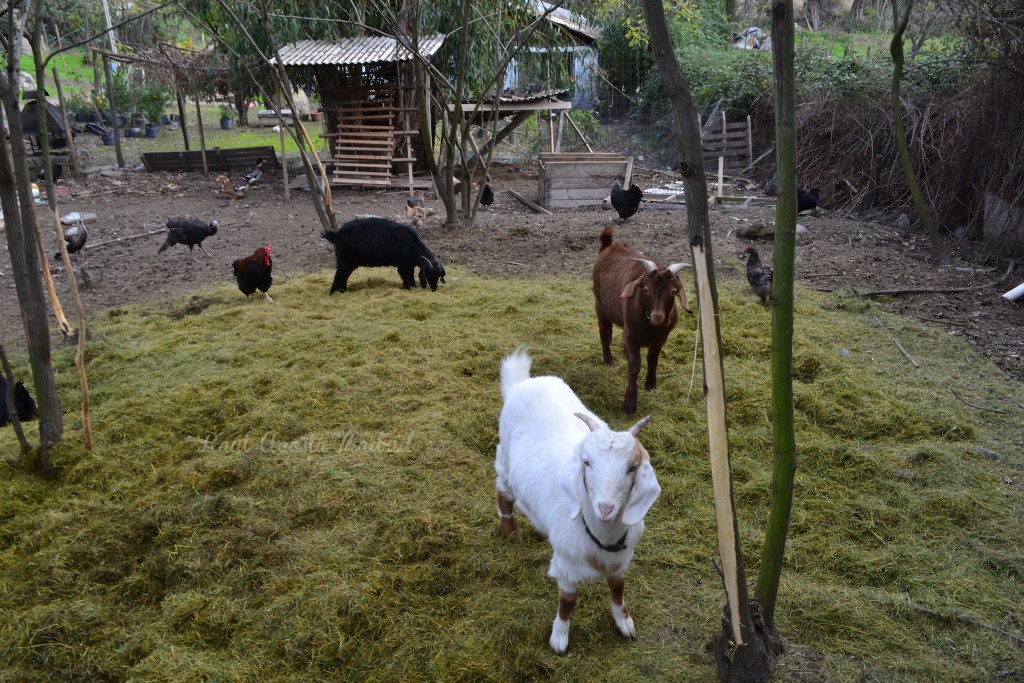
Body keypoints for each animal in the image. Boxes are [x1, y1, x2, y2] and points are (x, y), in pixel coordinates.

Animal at [495, 350, 663, 655]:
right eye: (586, 462)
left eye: (632, 468)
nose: (605, 509)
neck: (603, 537)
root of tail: (522, 383)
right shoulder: (566, 566)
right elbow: (567, 602)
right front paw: (559, 639)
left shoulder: (620, 562)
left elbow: (618, 590)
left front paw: (624, 622)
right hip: (504, 462)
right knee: (504, 495)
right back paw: (511, 533)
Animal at [589, 227, 692, 413]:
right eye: (646, 289)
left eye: (673, 292)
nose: (658, 317)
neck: (650, 326)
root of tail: (608, 245)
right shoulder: (630, 336)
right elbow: (635, 364)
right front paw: (629, 404)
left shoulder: (661, 338)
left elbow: (653, 359)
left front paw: (650, 384)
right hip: (599, 303)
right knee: (603, 331)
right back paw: (608, 360)